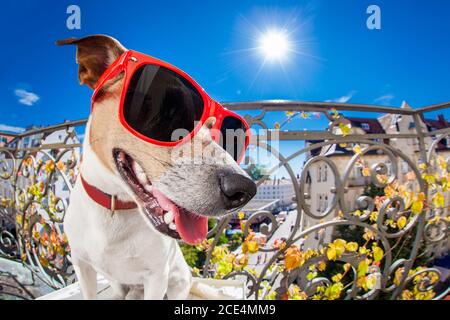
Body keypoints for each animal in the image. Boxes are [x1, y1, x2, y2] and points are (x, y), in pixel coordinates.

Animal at [58, 35, 256, 300]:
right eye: (169, 112)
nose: (244, 189)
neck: (114, 207)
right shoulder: (82, 265)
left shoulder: (156, 276)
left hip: (177, 280)